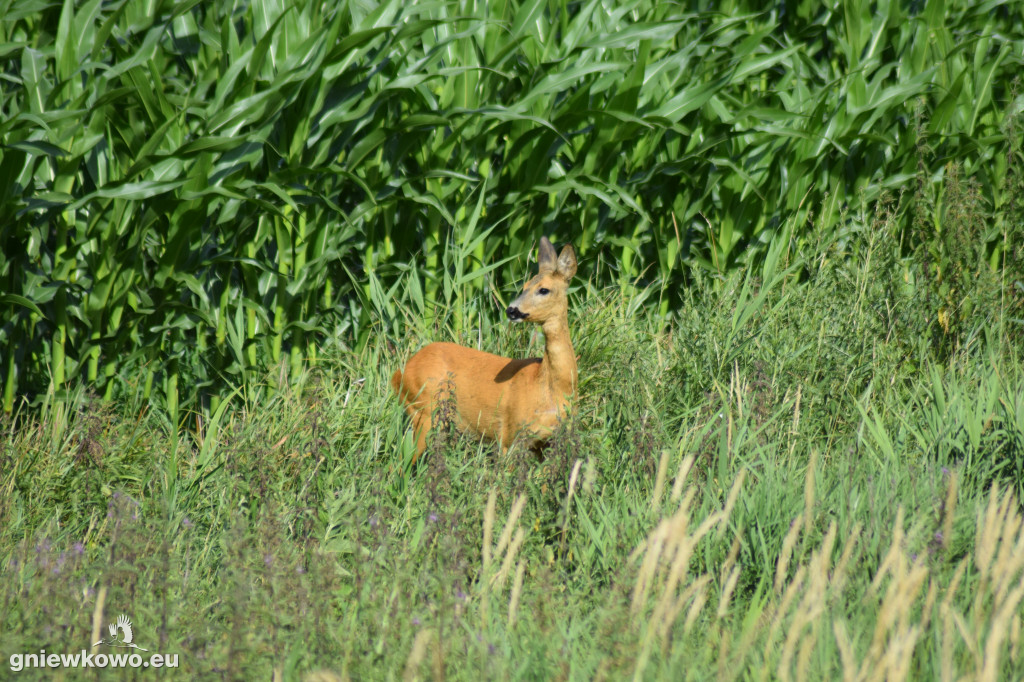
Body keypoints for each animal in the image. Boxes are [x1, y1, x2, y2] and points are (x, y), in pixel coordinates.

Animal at [393, 235, 577, 462]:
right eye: (524, 285)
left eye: (544, 289)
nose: (511, 310)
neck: (551, 388)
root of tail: (400, 373)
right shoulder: (509, 435)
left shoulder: (548, 441)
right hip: (425, 410)